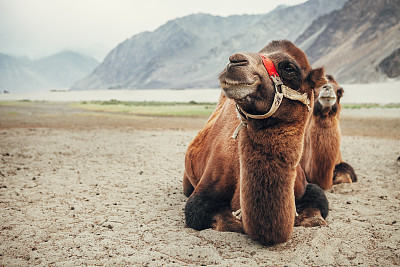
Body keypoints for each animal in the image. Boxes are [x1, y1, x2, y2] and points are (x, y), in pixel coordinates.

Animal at [183, 40, 330, 247]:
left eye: (289, 67)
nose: (235, 62)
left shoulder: (306, 184)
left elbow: (318, 209)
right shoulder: (204, 193)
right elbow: (210, 215)